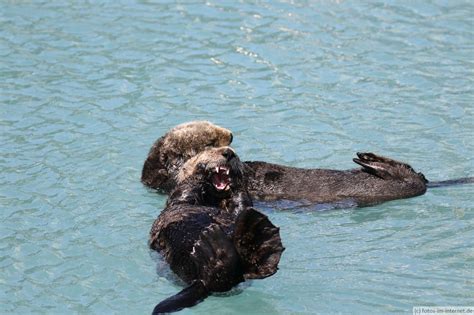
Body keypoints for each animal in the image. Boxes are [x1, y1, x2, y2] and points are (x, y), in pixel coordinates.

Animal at [149, 147, 282, 314]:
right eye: (209, 150)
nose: (229, 152)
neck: (213, 200)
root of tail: (203, 284)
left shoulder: (237, 209)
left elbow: (242, 207)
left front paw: (236, 179)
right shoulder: (180, 197)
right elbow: (187, 188)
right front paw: (201, 169)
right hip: (179, 251)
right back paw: (215, 250)